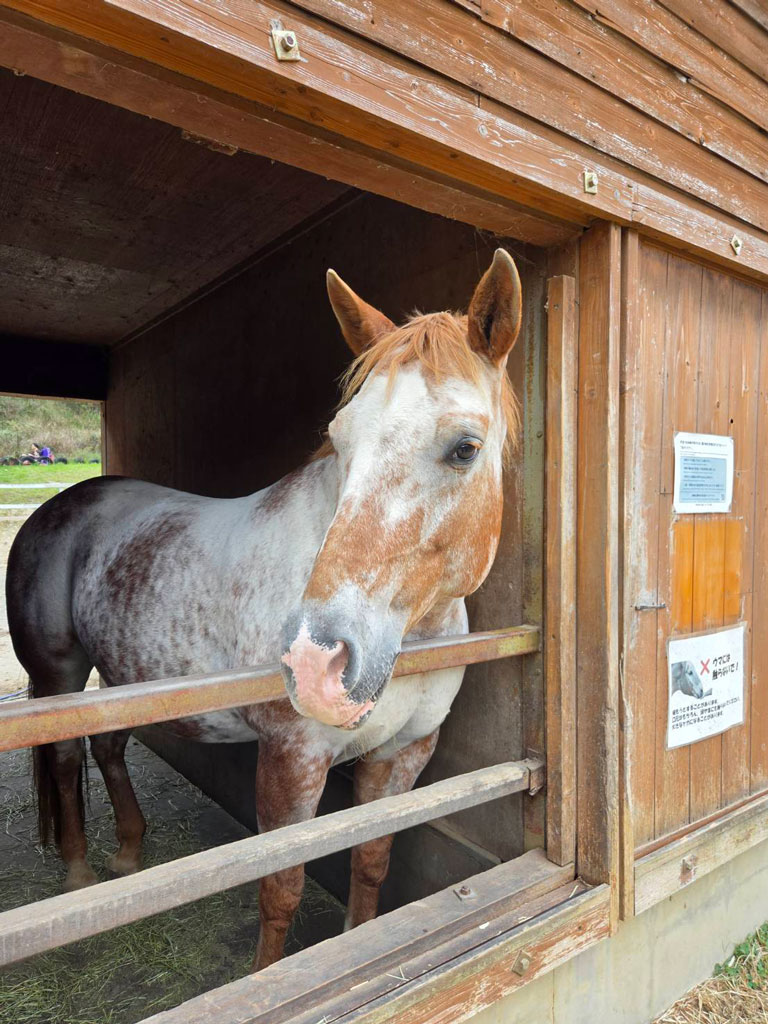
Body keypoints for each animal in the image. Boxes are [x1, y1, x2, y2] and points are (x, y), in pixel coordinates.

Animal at [6, 248, 522, 970]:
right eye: (339, 438)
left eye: (465, 447)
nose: (315, 663)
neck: (413, 635)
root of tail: (56, 507)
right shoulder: (290, 758)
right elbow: (280, 888)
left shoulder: (406, 753)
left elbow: (371, 860)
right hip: (58, 675)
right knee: (60, 757)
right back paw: (80, 873)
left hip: (125, 678)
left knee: (106, 744)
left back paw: (129, 853)